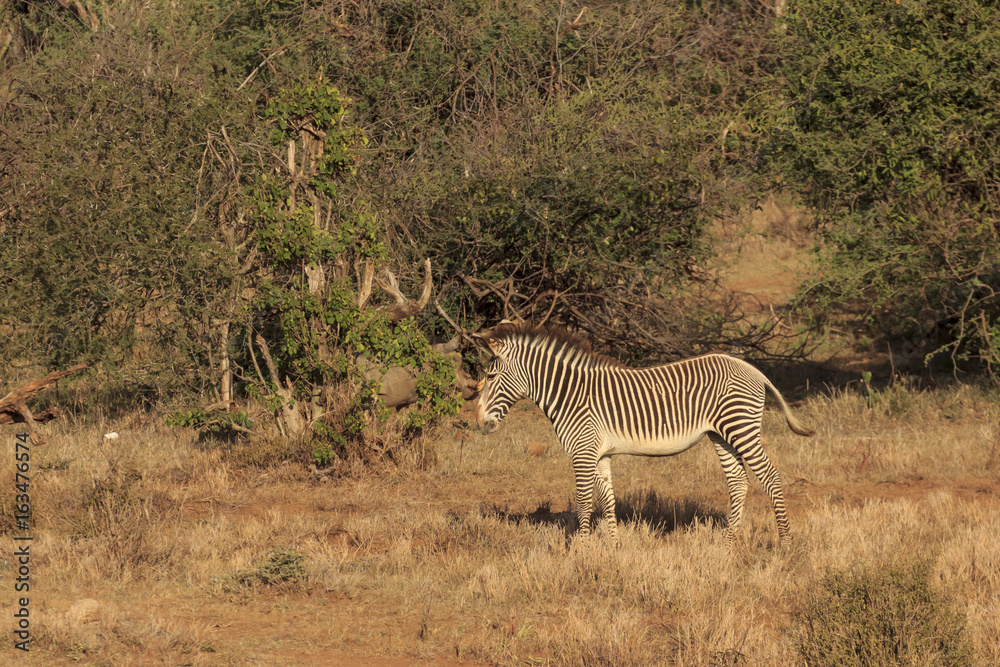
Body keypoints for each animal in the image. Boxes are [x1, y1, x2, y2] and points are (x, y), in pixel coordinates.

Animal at [475, 323, 815, 546]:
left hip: (741, 428)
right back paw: (728, 541)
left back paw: (785, 541)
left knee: (770, 476)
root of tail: (752, 369)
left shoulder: (583, 452)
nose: (479, 423)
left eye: (490, 376)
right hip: (721, 434)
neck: (571, 394)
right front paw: (614, 546)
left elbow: (583, 501)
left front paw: (580, 549)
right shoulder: (600, 454)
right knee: (739, 482)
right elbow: (607, 499)